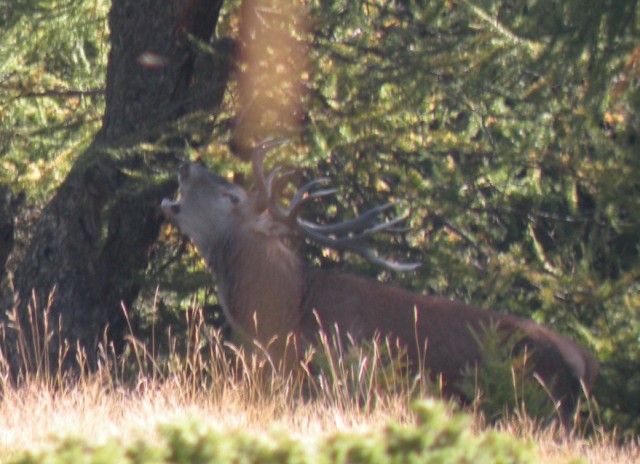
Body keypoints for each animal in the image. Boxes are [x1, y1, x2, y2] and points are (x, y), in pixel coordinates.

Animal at [160, 139, 599, 428]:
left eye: (230, 195)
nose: (186, 165)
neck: (288, 313)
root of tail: (584, 358)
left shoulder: (337, 372)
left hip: (543, 403)